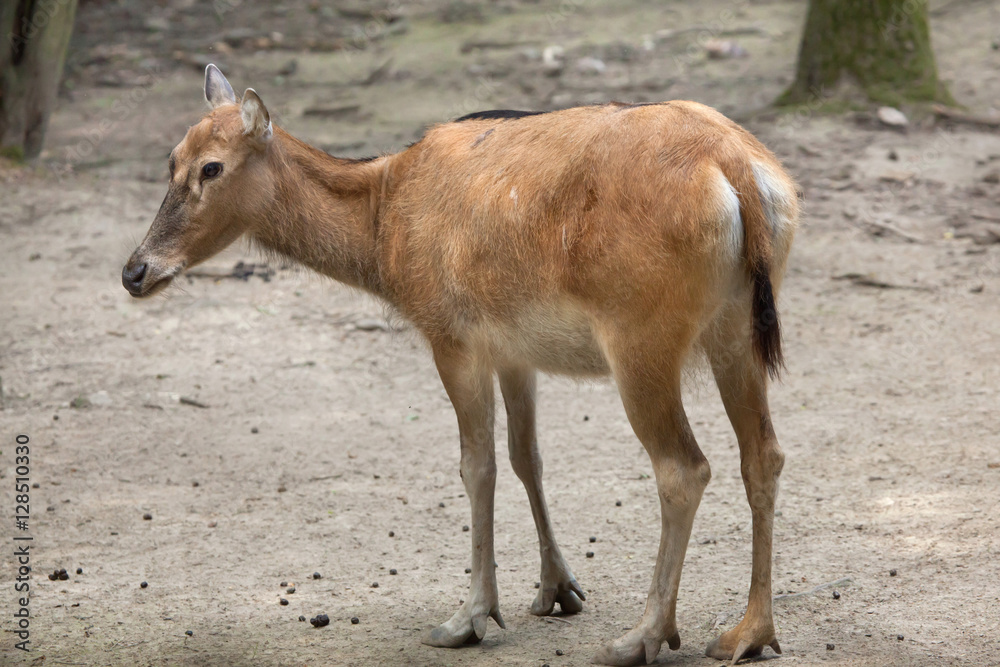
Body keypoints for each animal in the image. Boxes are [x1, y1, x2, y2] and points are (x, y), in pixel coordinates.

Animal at [122, 65, 798, 666]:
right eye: (171, 159)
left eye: (212, 167)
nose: (135, 271)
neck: (384, 230)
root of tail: (739, 172)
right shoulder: (514, 349)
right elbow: (528, 456)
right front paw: (557, 590)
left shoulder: (450, 335)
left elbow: (478, 465)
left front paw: (469, 618)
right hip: (737, 329)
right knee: (762, 454)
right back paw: (749, 634)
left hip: (641, 338)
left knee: (683, 468)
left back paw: (643, 637)